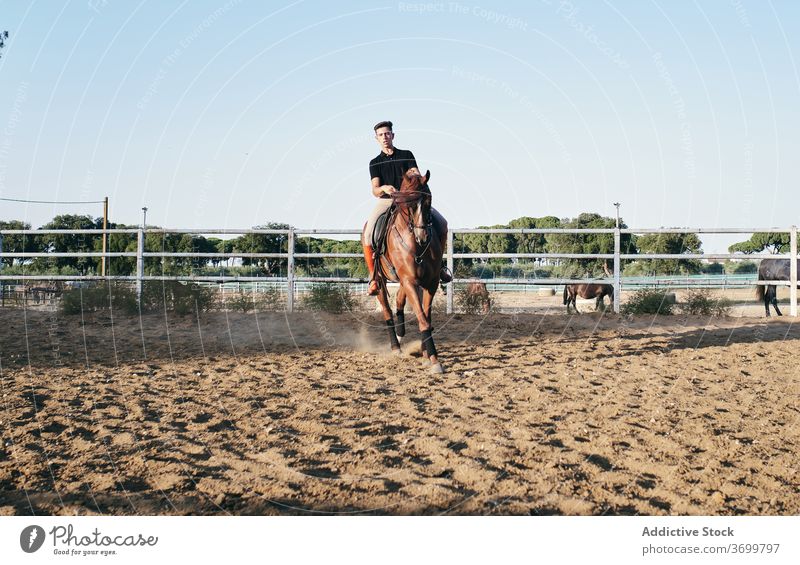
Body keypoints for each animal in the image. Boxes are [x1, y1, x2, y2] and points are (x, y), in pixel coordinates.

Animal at [362, 172, 444, 374]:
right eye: (409, 204)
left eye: (429, 201)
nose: (423, 237)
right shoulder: (409, 281)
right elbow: (422, 319)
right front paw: (433, 359)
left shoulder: (430, 283)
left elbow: (426, 318)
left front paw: (426, 354)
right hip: (382, 281)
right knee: (387, 311)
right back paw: (395, 346)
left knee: (399, 301)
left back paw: (401, 335)